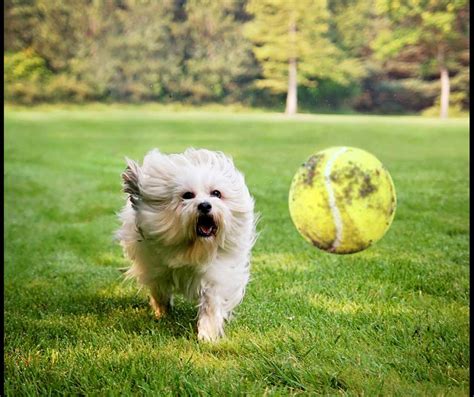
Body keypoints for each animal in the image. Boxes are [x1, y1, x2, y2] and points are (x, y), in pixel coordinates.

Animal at [116, 148, 258, 340]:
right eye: (187, 195)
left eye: (216, 193)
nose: (205, 206)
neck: (193, 247)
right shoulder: (155, 267)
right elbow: (159, 290)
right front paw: (162, 311)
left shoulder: (216, 273)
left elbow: (211, 302)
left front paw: (207, 334)